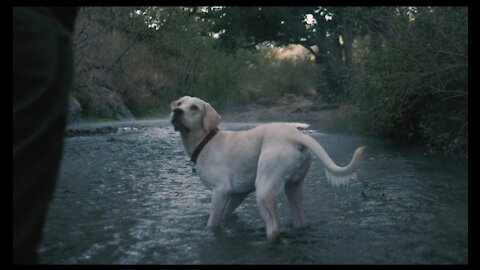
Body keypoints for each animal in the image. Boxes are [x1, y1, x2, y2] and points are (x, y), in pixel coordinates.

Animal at [171, 96, 366, 239]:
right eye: (179, 103)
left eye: (194, 108)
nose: (176, 111)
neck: (205, 141)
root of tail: (296, 136)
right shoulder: (237, 194)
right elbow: (225, 215)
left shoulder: (220, 191)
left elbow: (212, 223)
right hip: (294, 189)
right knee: (300, 221)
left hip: (264, 190)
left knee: (273, 229)